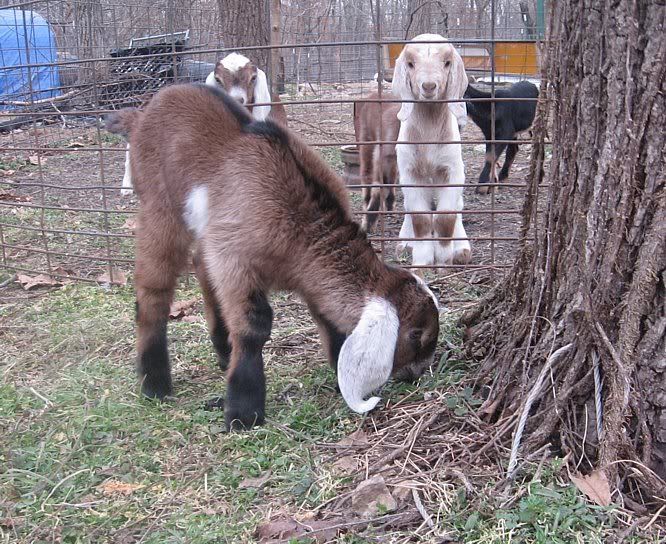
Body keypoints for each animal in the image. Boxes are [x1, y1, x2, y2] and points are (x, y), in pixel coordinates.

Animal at [105, 83, 440, 431]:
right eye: (416, 335)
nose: (416, 374)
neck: (300, 226)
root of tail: (142, 115)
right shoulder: (234, 257)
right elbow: (255, 324)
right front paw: (243, 411)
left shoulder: (298, 272)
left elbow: (326, 315)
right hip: (160, 207)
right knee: (154, 288)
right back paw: (154, 383)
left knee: (200, 265)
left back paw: (223, 350)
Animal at [392, 34, 471, 267]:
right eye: (410, 64)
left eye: (447, 63)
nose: (428, 86)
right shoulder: (409, 171)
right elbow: (420, 217)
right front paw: (423, 261)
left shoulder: (453, 169)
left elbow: (446, 217)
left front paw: (444, 261)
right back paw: (405, 244)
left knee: (458, 205)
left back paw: (461, 248)